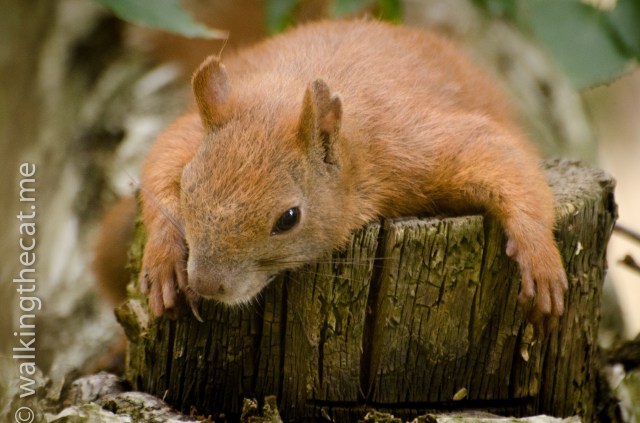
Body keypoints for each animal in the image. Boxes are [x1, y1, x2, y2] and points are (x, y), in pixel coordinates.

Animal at [112, 19, 568, 321]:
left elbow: (499, 155)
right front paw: (163, 258)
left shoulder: (409, 147)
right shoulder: (188, 132)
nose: (207, 284)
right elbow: (160, 162)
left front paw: (538, 255)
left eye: (288, 219)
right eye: (188, 189)